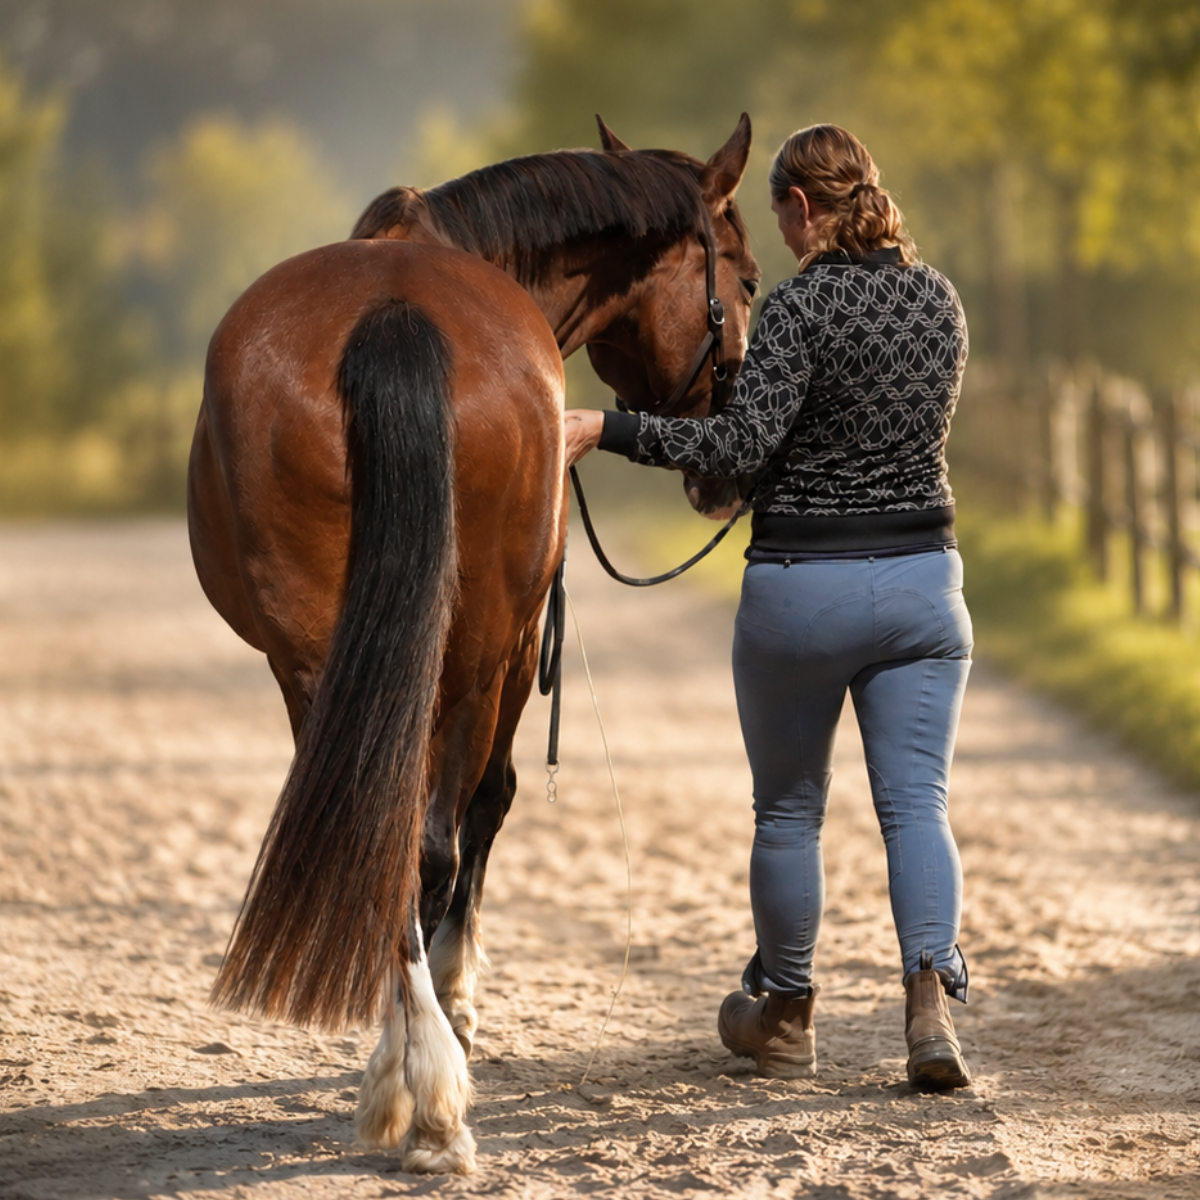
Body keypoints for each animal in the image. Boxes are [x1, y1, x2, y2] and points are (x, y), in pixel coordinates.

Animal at [187, 116, 759, 1175]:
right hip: (477, 652)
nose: (726, 479)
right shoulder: (518, 644)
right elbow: (486, 809)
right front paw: (453, 1011)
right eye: (743, 278)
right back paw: (431, 1098)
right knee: (431, 839)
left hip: (314, 658)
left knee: (373, 828)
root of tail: (394, 317)